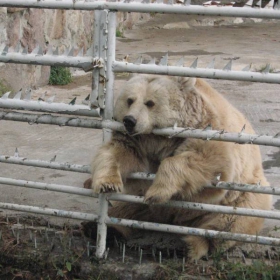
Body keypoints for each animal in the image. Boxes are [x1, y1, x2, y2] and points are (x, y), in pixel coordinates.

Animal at [88, 74, 272, 260]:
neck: (159, 140)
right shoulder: (136, 142)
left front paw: (157, 191)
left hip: (242, 197)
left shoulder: (207, 130)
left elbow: (213, 162)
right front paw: (107, 183)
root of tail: (176, 220)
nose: (129, 120)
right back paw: (100, 229)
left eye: (150, 102)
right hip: (139, 204)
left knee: (228, 223)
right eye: (129, 100)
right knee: (124, 211)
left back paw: (191, 245)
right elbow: (117, 153)